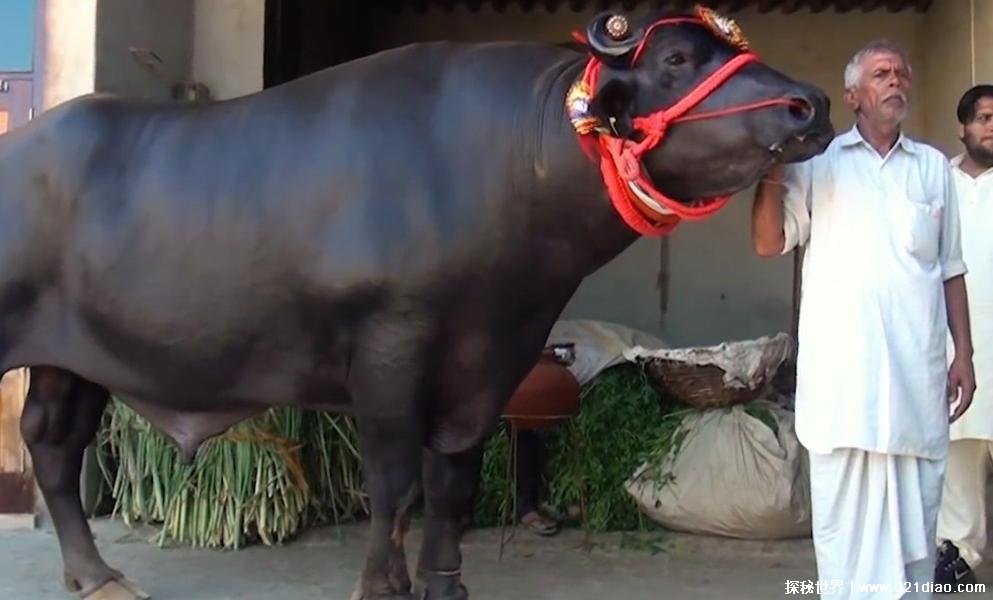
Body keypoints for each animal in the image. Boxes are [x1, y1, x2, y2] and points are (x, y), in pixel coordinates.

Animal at [0, 8, 833, 600]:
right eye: (675, 60)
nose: (810, 103)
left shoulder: (488, 362)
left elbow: (451, 483)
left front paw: (445, 583)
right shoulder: (389, 347)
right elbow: (396, 483)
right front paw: (383, 586)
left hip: (74, 359)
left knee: (52, 444)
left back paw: (97, 577)